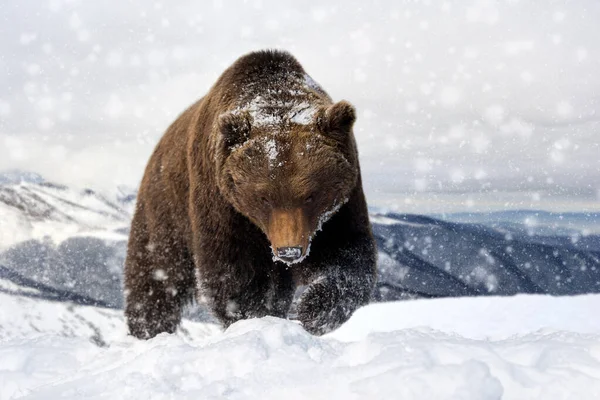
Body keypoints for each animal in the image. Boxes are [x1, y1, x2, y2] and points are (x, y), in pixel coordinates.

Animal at [125, 49, 378, 338]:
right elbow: (233, 269)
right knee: (157, 269)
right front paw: (252, 317)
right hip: (166, 204)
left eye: (311, 195)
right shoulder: (224, 203)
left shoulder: (339, 207)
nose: (289, 251)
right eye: (264, 197)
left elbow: (347, 254)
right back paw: (147, 327)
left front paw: (314, 310)